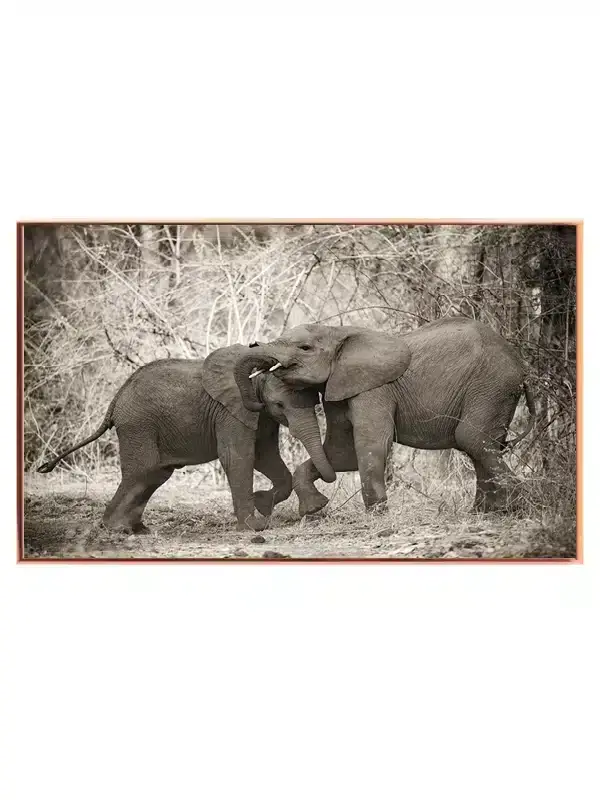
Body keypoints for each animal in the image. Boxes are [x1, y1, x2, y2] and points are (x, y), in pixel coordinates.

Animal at [37, 344, 335, 532]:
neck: (253, 378)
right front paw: (255, 526)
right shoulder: (231, 411)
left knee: (155, 474)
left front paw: (262, 502)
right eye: (280, 405)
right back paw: (116, 529)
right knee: (142, 471)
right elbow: (239, 457)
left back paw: (136, 529)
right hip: (138, 425)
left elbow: (265, 456)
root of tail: (116, 400)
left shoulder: (259, 416)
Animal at [233, 317, 536, 517]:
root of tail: (522, 367)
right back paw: (486, 512)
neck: (339, 332)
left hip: (491, 385)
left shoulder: (373, 388)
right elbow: (341, 453)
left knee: (471, 438)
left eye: (304, 348)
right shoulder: (341, 386)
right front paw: (315, 508)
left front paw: (376, 514)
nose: (253, 344)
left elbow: (370, 442)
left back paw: (517, 506)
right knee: (480, 445)